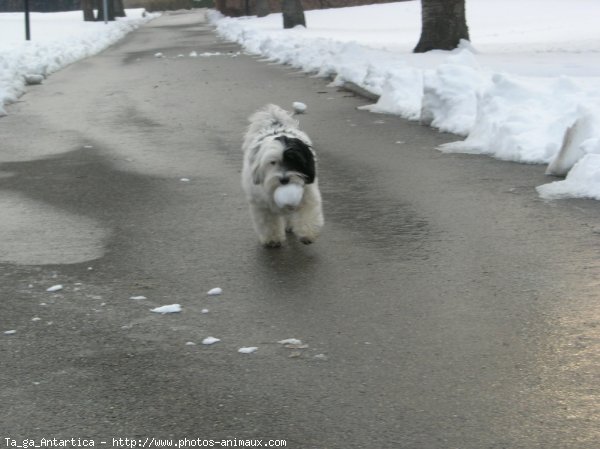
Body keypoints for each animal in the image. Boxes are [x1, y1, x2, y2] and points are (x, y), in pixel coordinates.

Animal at [241, 103, 324, 247]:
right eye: (272, 162)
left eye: (294, 161)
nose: (284, 180)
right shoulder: (261, 205)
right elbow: (268, 223)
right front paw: (272, 239)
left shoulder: (308, 194)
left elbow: (308, 211)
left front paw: (307, 232)